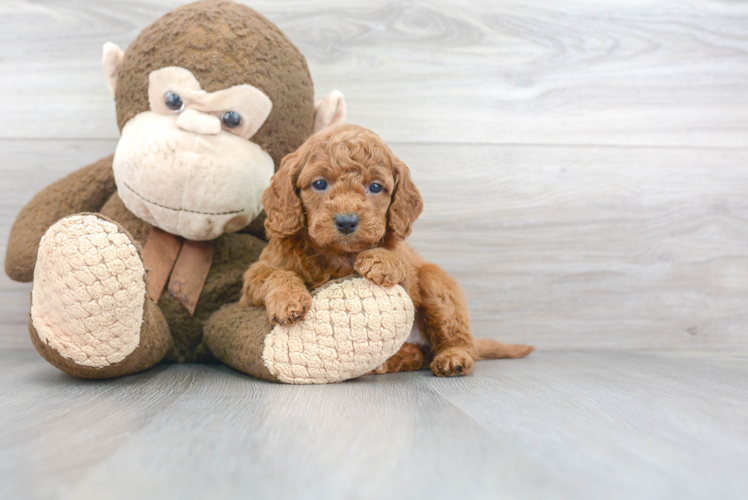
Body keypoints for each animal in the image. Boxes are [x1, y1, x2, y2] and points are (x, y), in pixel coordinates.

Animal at [243, 124, 536, 376]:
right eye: (319, 184)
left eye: (375, 187)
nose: (346, 221)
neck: (338, 254)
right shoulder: (253, 282)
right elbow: (273, 274)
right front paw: (288, 300)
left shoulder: (409, 275)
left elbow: (404, 269)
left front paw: (382, 261)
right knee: (416, 354)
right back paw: (396, 360)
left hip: (436, 286)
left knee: (458, 340)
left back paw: (454, 358)